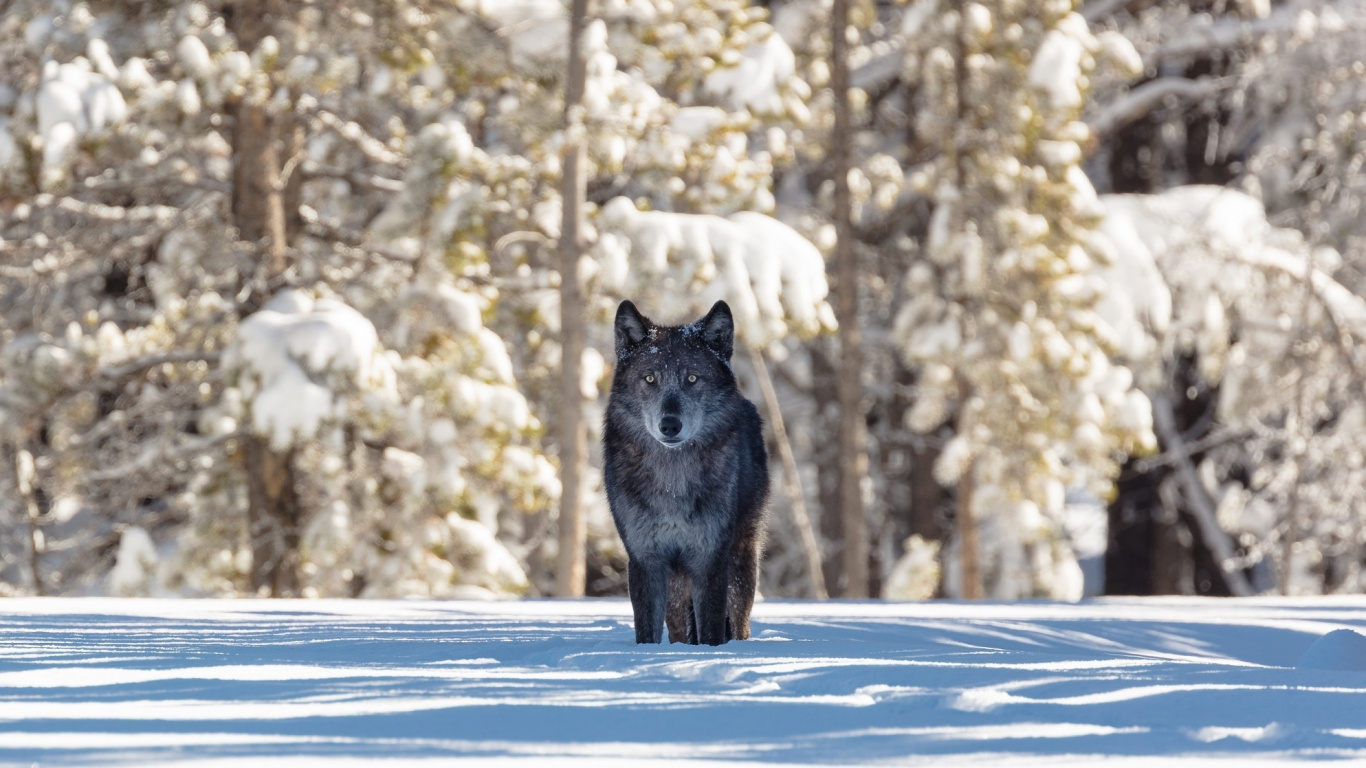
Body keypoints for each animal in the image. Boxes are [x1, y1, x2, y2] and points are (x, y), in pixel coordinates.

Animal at [603, 300, 770, 646]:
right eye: (649, 379)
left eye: (692, 378)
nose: (670, 425)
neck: (672, 482)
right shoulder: (646, 560)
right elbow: (647, 632)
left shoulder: (710, 559)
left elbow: (711, 630)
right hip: (678, 586)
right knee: (680, 628)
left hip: (741, 564)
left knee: (739, 622)